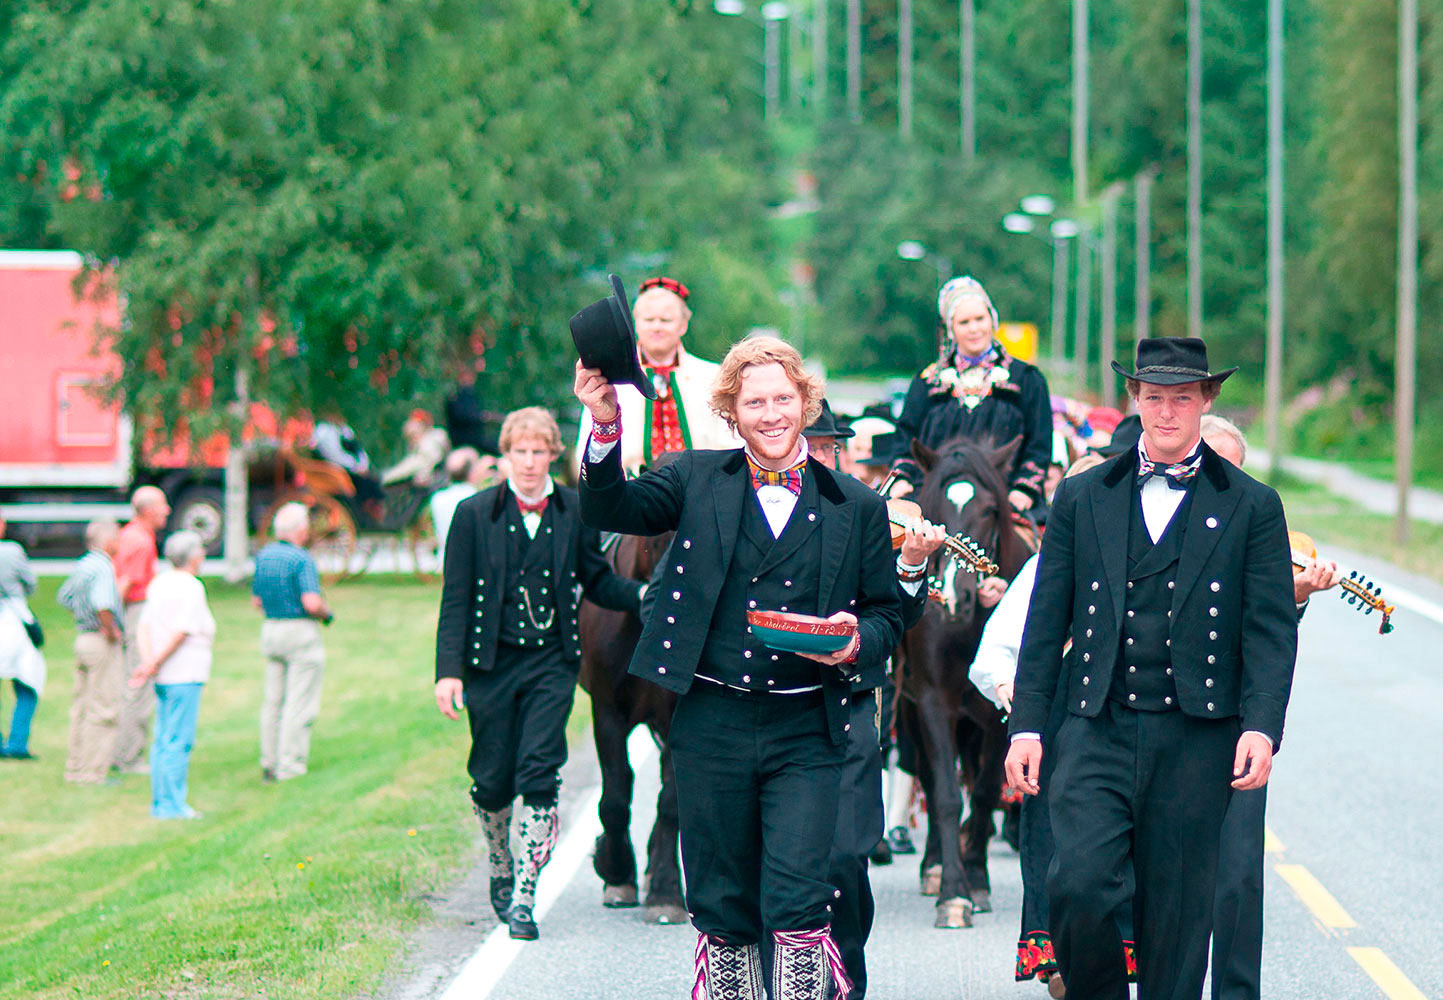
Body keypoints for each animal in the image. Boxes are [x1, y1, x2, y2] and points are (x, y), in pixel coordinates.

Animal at [894, 435, 1033, 929]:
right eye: (933, 508)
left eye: (991, 510)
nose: (957, 598)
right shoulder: (933, 701)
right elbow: (946, 794)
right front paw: (953, 894)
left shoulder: (998, 713)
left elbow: (989, 788)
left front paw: (975, 880)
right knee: (931, 780)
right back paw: (935, 865)